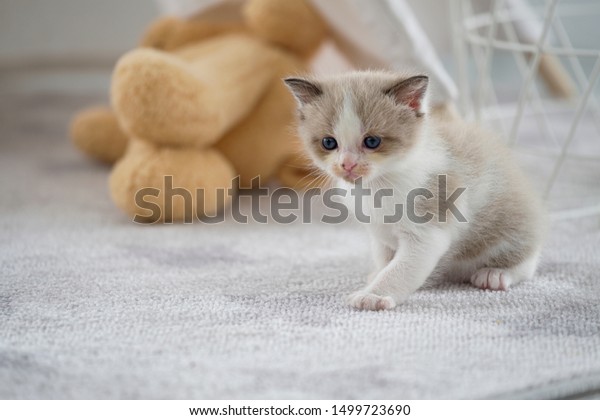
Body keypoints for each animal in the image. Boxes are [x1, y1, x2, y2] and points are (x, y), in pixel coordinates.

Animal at [284, 70, 548, 310]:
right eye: (329, 143)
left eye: (372, 142)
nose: (347, 165)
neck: (377, 186)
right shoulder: (378, 234)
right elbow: (384, 259)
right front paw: (376, 276)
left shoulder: (428, 230)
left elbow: (402, 269)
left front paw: (374, 295)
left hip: (512, 230)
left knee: (527, 264)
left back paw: (496, 273)